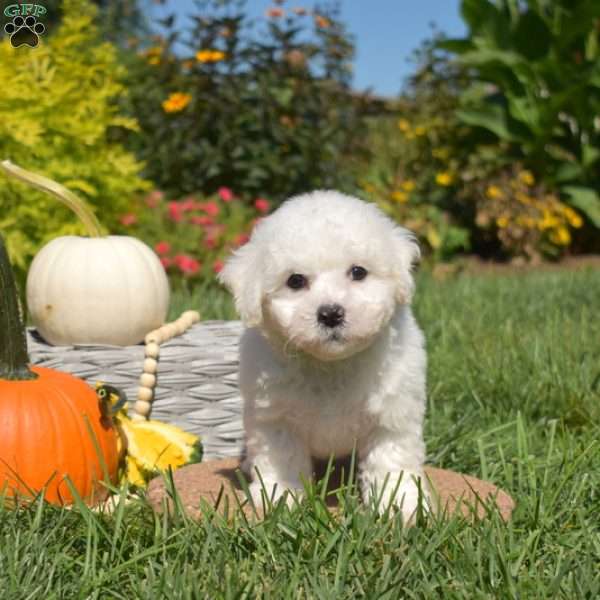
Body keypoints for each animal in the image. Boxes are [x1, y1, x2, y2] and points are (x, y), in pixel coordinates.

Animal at [218, 189, 428, 520]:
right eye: (295, 280)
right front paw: (281, 495)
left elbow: (391, 460)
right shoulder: (274, 417)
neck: (331, 364)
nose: (330, 314)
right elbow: (283, 458)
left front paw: (401, 503)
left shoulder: (392, 413)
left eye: (358, 272)